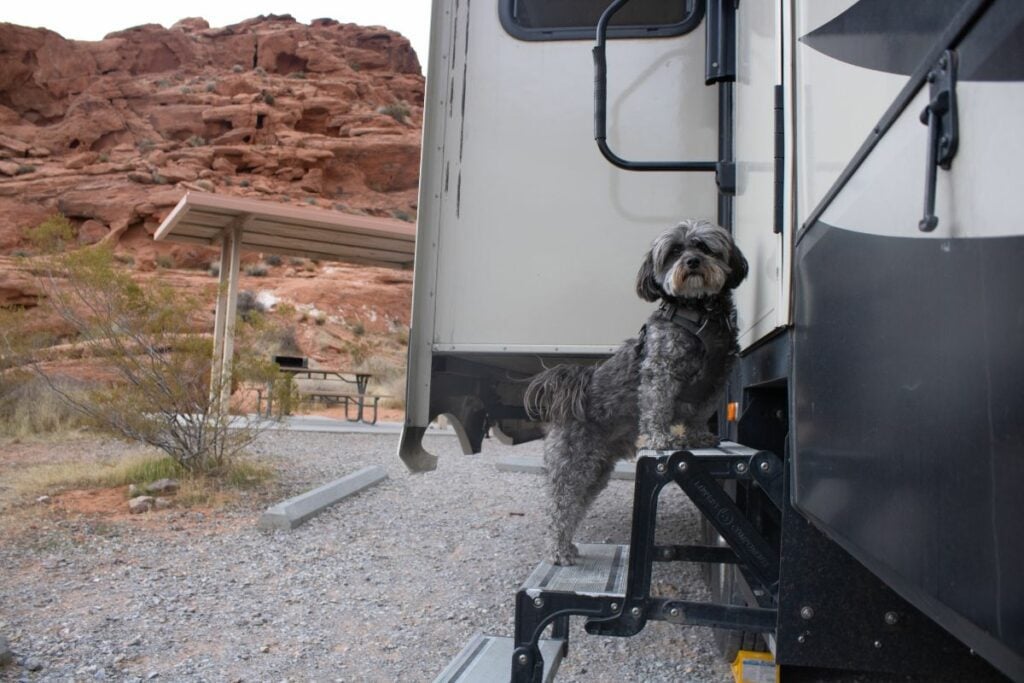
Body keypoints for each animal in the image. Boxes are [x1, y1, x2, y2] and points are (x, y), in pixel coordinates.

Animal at [524, 219, 749, 565]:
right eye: (674, 251)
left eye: (704, 247)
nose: (692, 262)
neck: (700, 310)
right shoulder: (662, 368)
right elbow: (658, 405)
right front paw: (660, 439)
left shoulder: (715, 380)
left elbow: (700, 414)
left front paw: (698, 438)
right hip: (572, 463)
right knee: (560, 507)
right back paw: (558, 551)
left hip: (595, 470)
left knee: (575, 507)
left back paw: (568, 546)